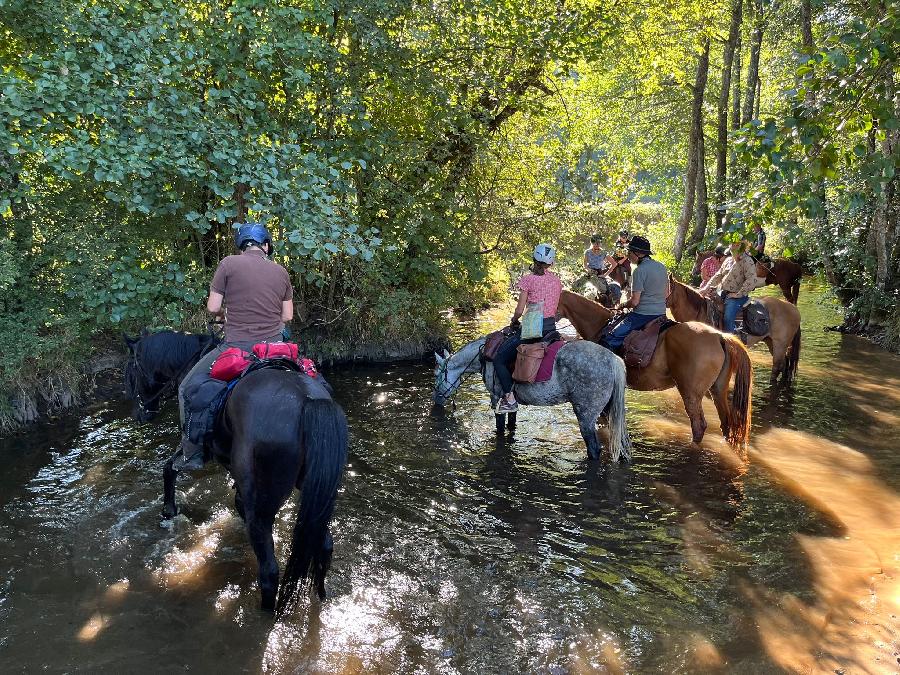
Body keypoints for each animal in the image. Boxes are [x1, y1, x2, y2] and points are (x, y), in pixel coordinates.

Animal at [124, 331, 348, 614]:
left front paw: (168, 511)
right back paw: (321, 597)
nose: (139, 414)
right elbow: (238, 502)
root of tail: (307, 400)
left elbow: (168, 469)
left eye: (132, 371)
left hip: (265, 505)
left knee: (269, 572)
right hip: (318, 496)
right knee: (324, 545)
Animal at [432, 338, 632, 462]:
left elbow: (499, 428)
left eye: (436, 374)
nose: (436, 401)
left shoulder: (496, 398)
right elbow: (511, 424)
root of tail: (612, 360)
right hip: (609, 411)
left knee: (594, 449)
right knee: (621, 441)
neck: (484, 355)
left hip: (586, 415)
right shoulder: (511, 403)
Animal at [555, 291, 753, 453]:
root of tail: (720, 336)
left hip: (690, 393)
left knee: (699, 426)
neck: (600, 325)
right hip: (717, 390)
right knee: (726, 422)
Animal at [666, 276, 802, 385]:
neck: (701, 312)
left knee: (777, 366)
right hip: (771, 341)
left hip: (780, 343)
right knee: (784, 364)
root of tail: (793, 308)